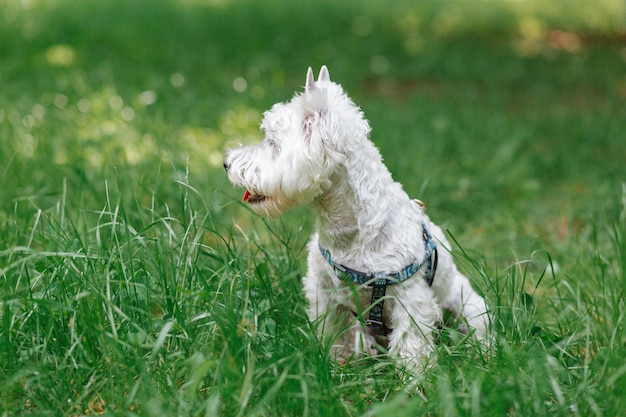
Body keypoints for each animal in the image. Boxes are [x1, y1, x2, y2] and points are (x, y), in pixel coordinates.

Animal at [223, 66, 488, 370]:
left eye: (273, 142)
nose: (226, 164)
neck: (349, 229)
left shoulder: (411, 299)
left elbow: (411, 344)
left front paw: (414, 376)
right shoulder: (325, 293)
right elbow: (335, 334)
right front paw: (336, 362)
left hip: (468, 306)